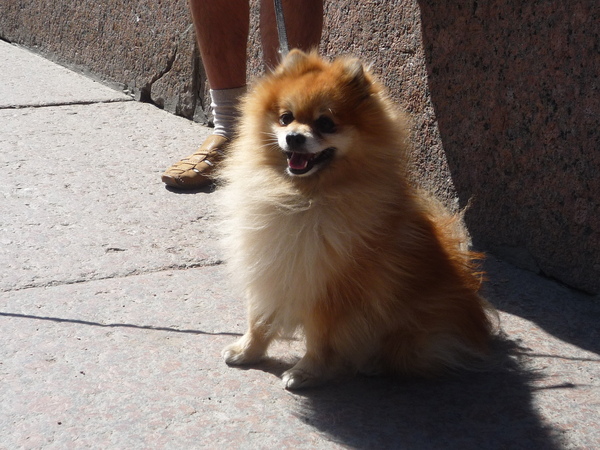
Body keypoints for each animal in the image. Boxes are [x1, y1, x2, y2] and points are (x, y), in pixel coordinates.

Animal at [218, 48, 494, 386]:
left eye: (326, 123)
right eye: (286, 118)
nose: (294, 137)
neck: (303, 197)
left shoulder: (329, 287)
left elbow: (320, 337)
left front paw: (308, 371)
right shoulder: (271, 263)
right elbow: (258, 316)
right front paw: (247, 351)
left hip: (410, 334)